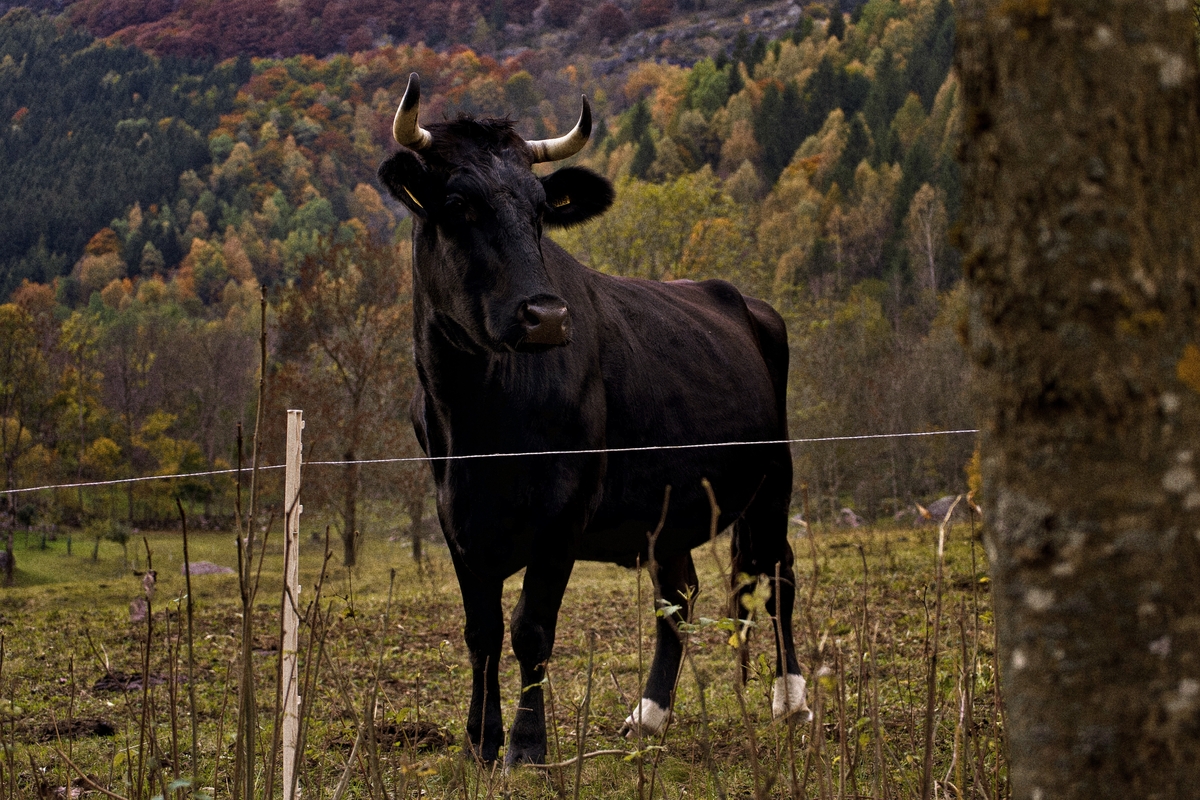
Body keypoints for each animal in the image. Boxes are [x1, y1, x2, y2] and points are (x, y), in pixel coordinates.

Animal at [379, 74, 811, 767]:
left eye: (539, 210)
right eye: (457, 203)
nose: (547, 316)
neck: (476, 418)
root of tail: (741, 298)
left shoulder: (565, 510)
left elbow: (530, 628)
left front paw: (526, 748)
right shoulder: (455, 518)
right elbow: (481, 631)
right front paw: (480, 741)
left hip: (774, 477)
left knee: (778, 574)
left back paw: (791, 699)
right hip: (670, 506)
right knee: (679, 597)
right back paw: (650, 714)